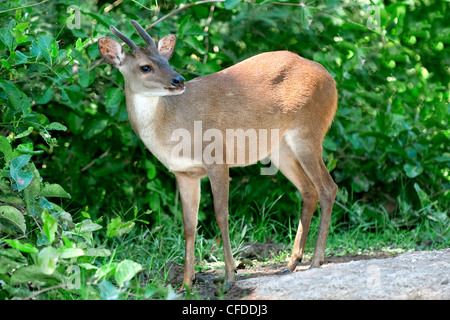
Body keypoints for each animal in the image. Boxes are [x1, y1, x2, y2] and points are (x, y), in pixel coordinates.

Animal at [99, 20, 338, 292]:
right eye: (145, 66)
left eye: (166, 59)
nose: (178, 80)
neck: (172, 127)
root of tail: (331, 79)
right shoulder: (184, 173)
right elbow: (189, 225)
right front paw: (186, 283)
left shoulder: (217, 159)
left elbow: (221, 215)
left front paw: (230, 276)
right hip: (280, 149)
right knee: (308, 190)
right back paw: (291, 263)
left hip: (308, 132)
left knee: (328, 187)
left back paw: (317, 260)